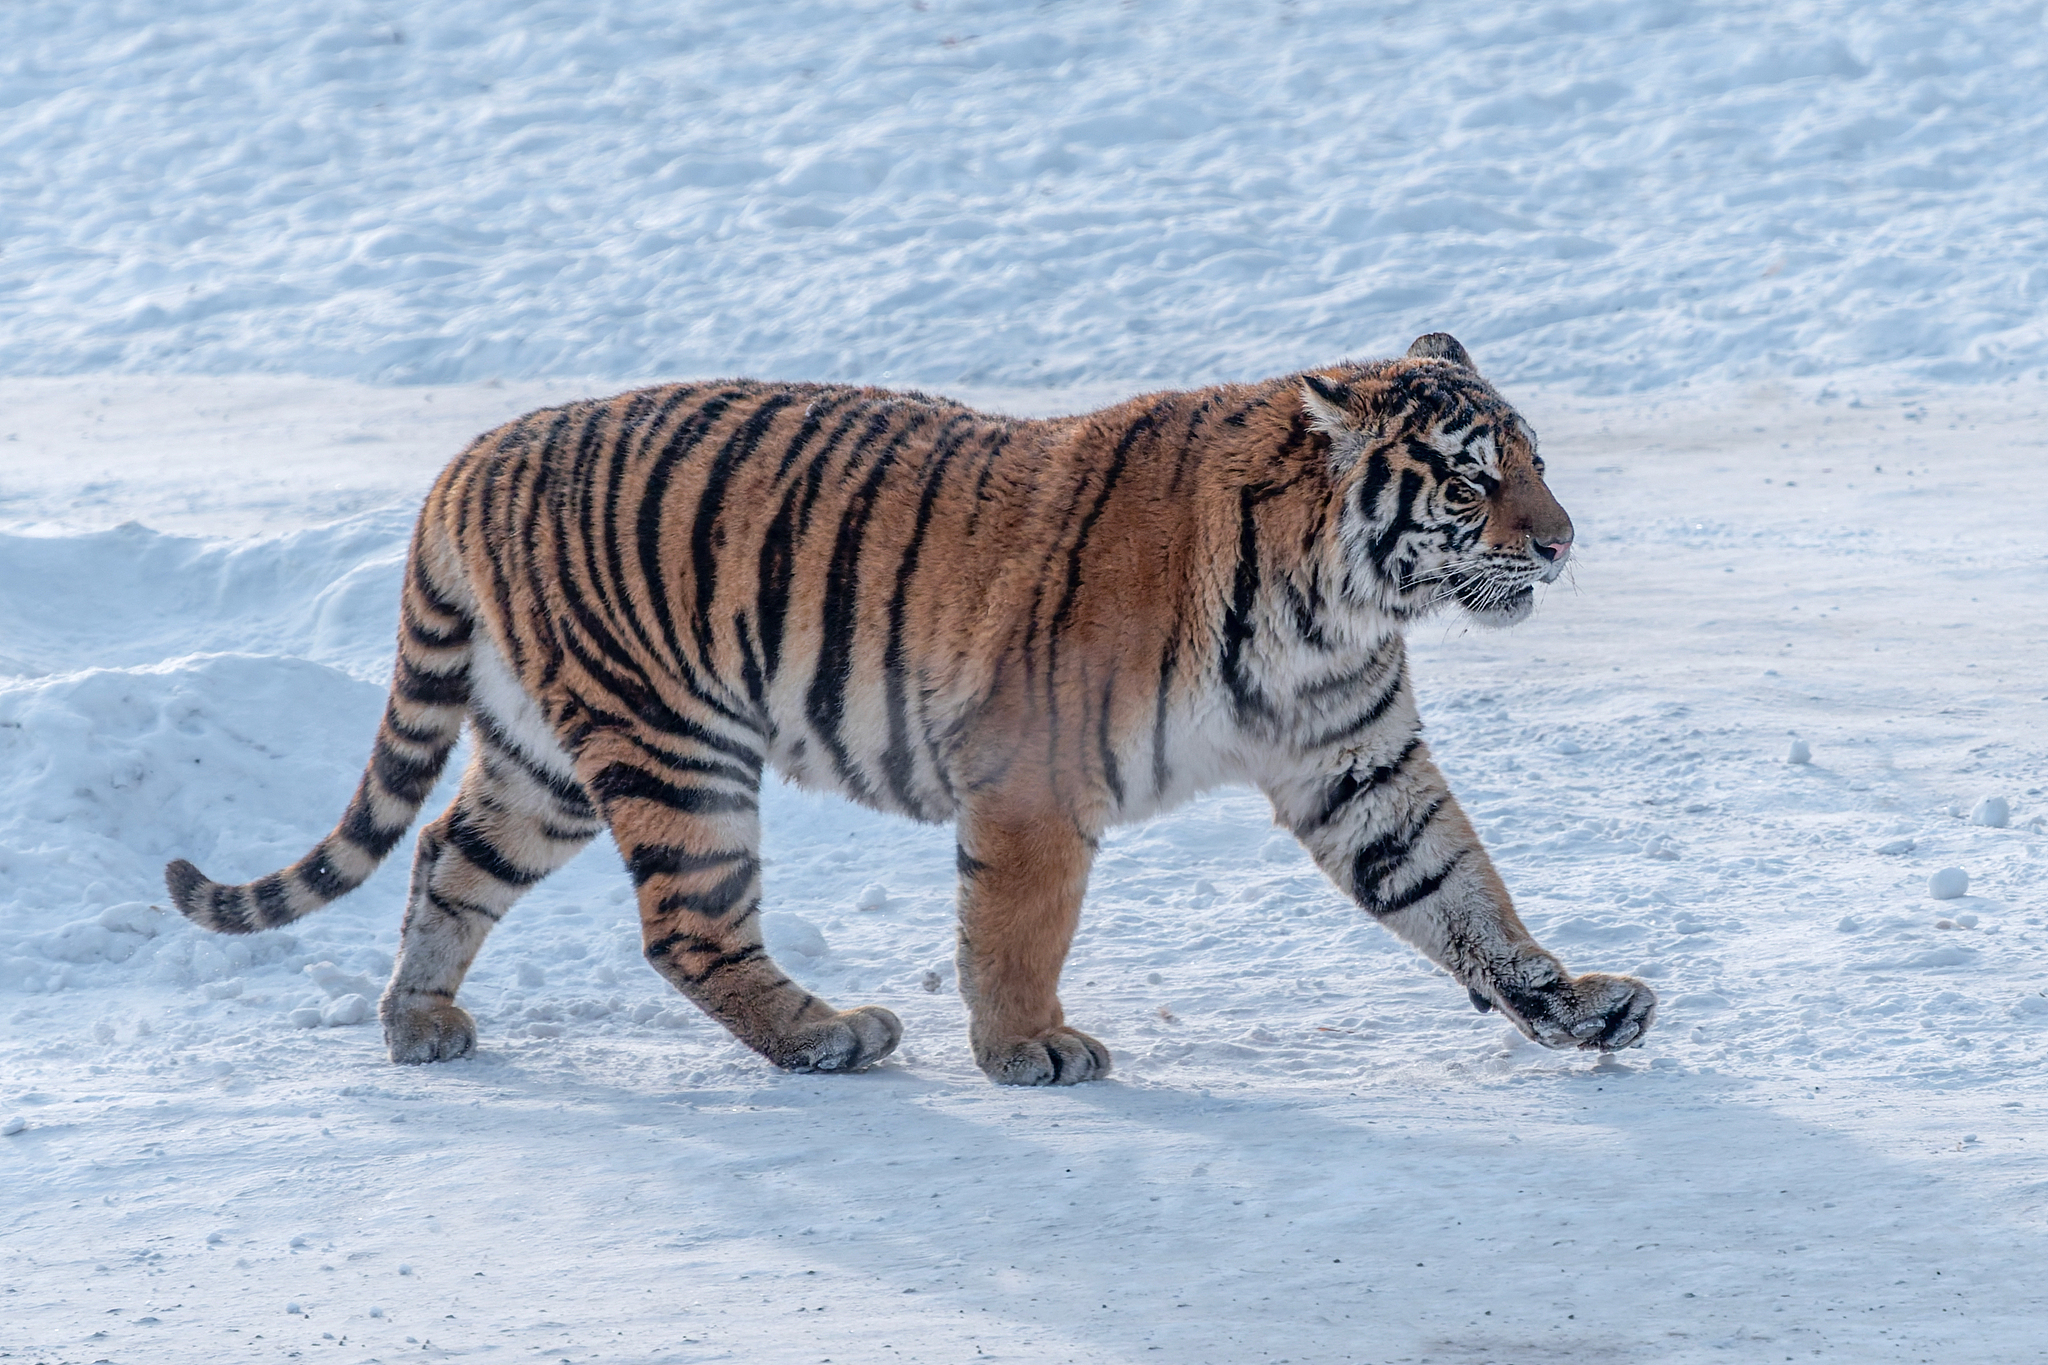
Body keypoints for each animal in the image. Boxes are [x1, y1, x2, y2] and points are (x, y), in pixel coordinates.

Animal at [165, 332, 1656, 1086]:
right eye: (1471, 478)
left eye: (1534, 458)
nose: (1564, 541)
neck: (1331, 605)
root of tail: (469, 455)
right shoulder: (1033, 780)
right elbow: (1015, 929)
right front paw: (1027, 1048)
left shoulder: (1358, 765)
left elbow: (1463, 894)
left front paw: (1574, 1004)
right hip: (676, 745)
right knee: (685, 927)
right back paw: (826, 1034)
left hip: (546, 759)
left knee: (446, 854)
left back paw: (418, 1022)